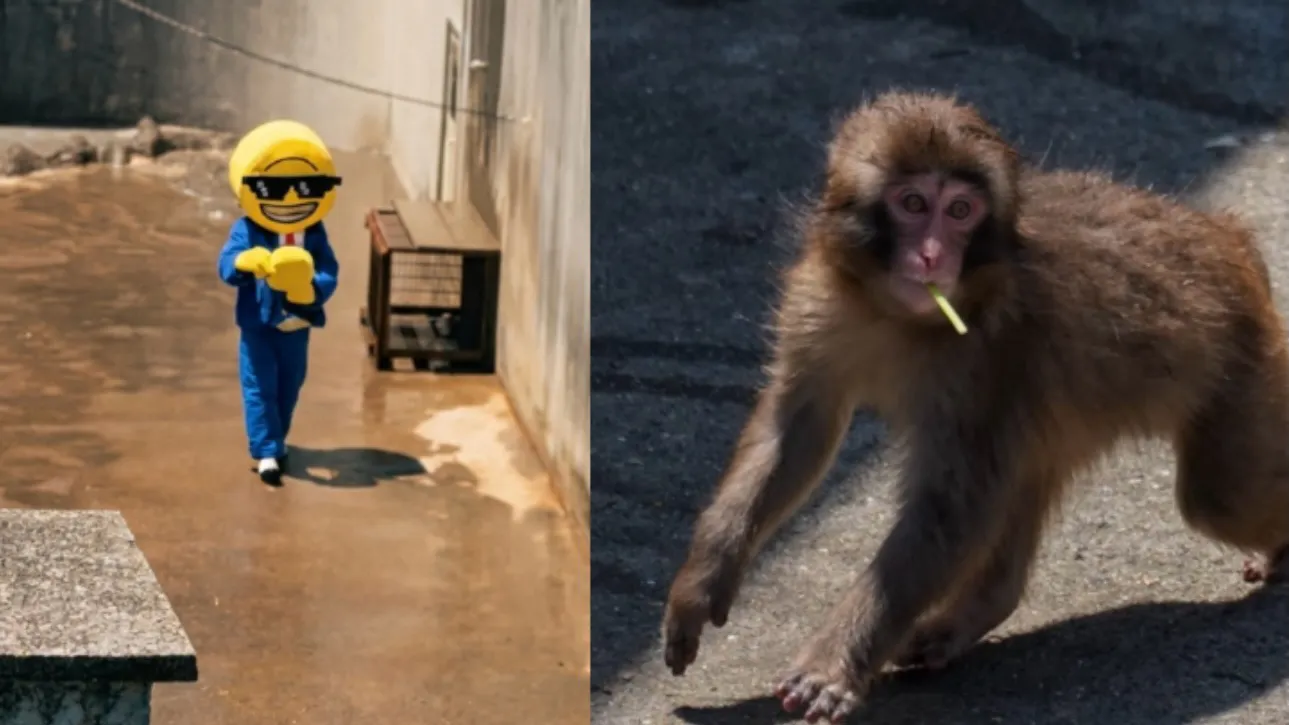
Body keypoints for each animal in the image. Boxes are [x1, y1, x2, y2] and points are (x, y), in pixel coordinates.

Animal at [661, 90, 1289, 723]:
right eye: (914, 204)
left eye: (961, 211)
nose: (933, 255)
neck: (893, 315)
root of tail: (1224, 235)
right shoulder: (816, 302)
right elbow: (796, 433)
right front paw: (702, 582)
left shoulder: (991, 354)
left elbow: (948, 506)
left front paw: (830, 666)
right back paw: (974, 613)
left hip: (1245, 365)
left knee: (1217, 499)